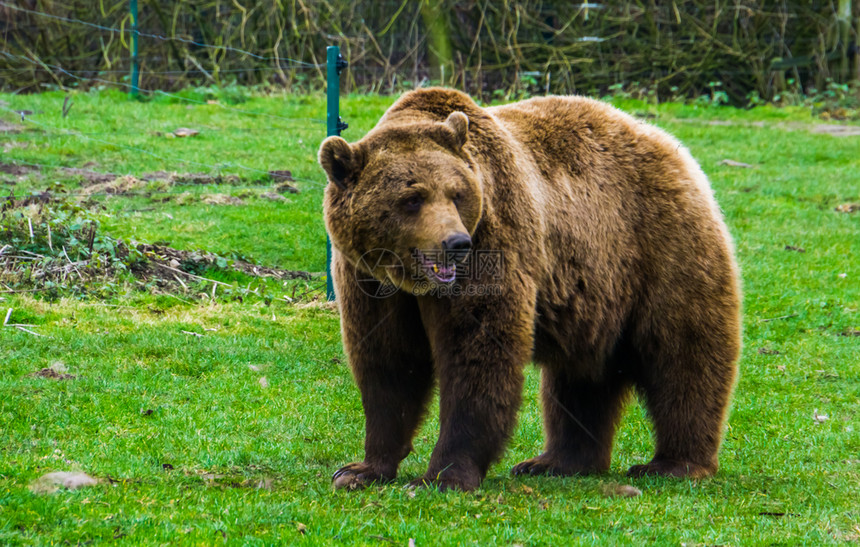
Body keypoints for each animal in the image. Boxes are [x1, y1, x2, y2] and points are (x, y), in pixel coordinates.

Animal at [320, 86, 744, 492]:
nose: (456, 243)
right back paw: (557, 462)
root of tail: (670, 145)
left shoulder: (494, 239)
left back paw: (674, 464)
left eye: (456, 193)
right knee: (581, 380)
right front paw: (360, 470)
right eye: (412, 198)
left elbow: (477, 353)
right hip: (594, 292)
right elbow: (389, 363)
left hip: (661, 247)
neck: (410, 280)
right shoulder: (370, 281)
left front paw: (442, 476)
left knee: (683, 353)